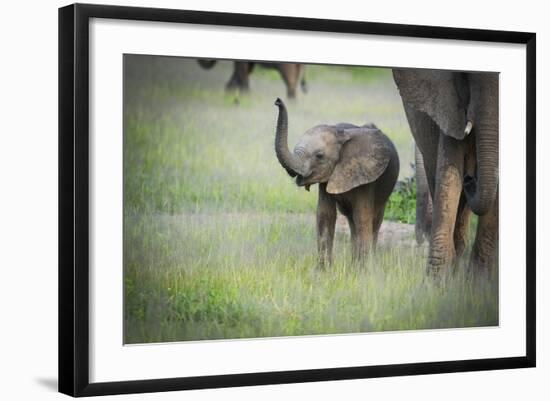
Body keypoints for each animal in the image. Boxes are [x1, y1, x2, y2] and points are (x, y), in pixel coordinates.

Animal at [274, 96, 398, 266]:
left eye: (319, 156)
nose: (277, 101)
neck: (340, 133)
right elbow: (325, 215)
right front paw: (324, 270)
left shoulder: (366, 176)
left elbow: (363, 216)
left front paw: (363, 270)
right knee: (351, 220)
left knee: (374, 219)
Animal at [394, 69, 502, 276]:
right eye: (466, 77)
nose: (470, 178)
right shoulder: (448, 107)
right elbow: (449, 177)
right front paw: (436, 281)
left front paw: (480, 281)